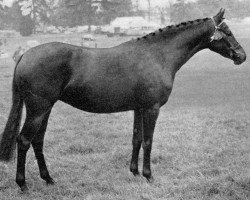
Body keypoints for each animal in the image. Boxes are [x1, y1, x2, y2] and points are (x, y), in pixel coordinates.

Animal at [0, 8, 246, 191]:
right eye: (227, 31)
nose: (241, 56)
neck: (157, 56)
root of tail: (25, 55)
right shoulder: (152, 108)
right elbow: (148, 141)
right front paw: (148, 176)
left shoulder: (139, 108)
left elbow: (136, 138)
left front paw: (134, 172)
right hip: (38, 109)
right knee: (24, 141)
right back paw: (23, 185)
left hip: (45, 109)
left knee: (37, 141)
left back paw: (49, 179)